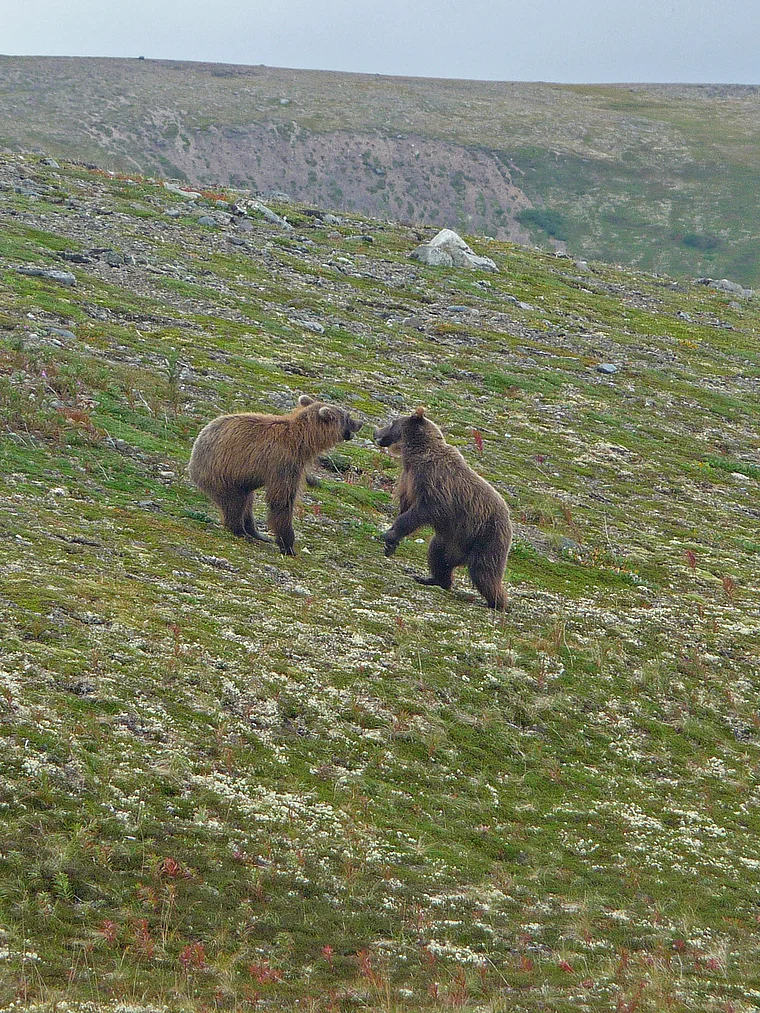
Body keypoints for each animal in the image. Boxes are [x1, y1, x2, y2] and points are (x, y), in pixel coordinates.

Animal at [188, 395, 363, 555]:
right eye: (347, 416)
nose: (360, 423)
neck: (302, 442)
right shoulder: (283, 463)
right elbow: (282, 500)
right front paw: (288, 545)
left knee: (247, 502)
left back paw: (257, 533)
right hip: (222, 473)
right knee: (234, 502)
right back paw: (241, 531)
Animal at [375, 408, 512, 610]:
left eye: (392, 422)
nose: (376, 432)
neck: (415, 454)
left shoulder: (435, 484)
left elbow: (421, 511)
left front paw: (390, 535)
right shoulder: (408, 480)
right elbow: (405, 507)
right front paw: (391, 543)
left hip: (487, 536)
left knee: (485, 571)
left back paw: (497, 602)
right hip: (448, 540)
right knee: (438, 556)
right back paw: (433, 579)